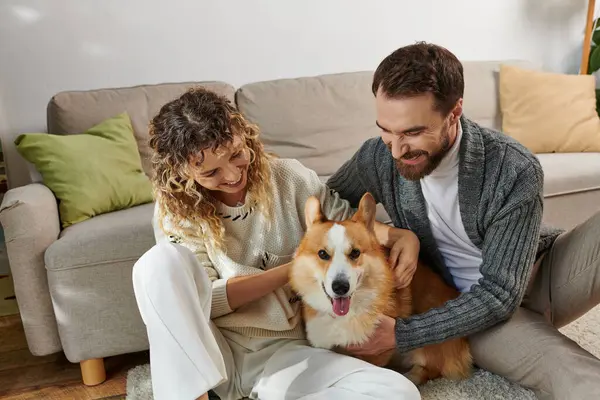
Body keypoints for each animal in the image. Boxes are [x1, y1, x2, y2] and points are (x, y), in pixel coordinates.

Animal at [290, 192, 474, 386]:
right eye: (322, 254)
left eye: (355, 253)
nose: (340, 287)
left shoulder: (376, 352)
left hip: (426, 345)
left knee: (430, 369)